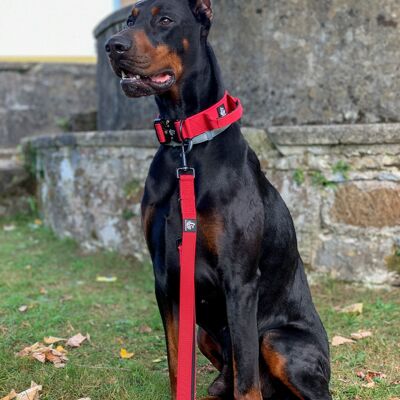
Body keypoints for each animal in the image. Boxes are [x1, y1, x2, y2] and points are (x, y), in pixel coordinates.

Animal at [105, 1, 332, 398]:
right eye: (130, 19)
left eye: (165, 20)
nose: (113, 46)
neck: (185, 148)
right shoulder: (166, 278)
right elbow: (176, 365)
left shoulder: (239, 281)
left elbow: (246, 382)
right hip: (204, 335)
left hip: (277, 340)